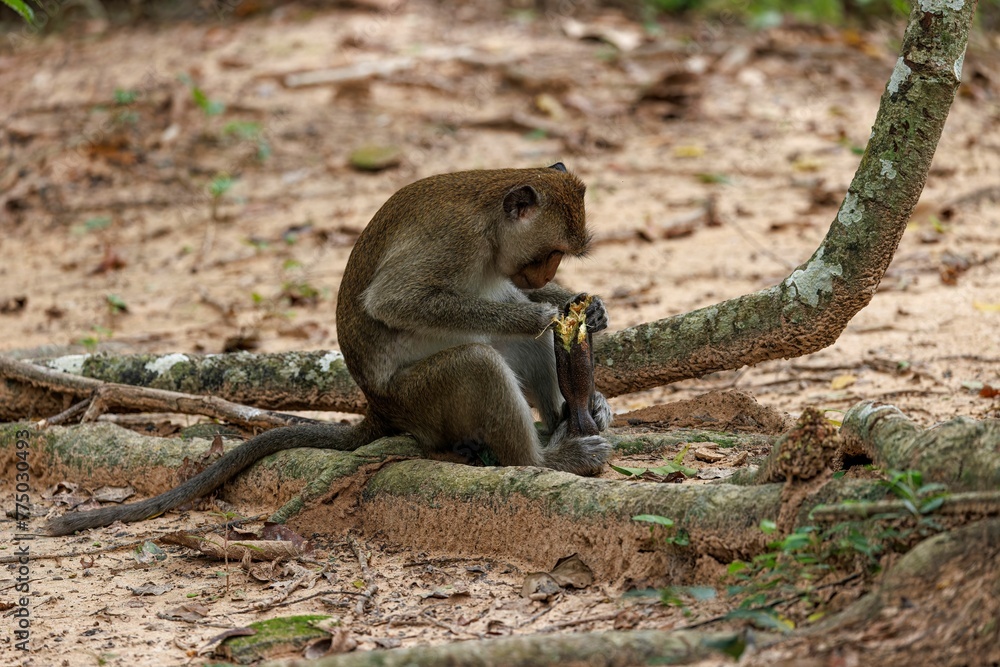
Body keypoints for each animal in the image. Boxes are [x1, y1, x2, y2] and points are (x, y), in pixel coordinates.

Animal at [48, 163, 616, 536]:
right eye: (549, 253)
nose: (548, 275)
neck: (489, 218)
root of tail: (380, 409)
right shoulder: (453, 241)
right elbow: (396, 301)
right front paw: (539, 317)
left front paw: (583, 310)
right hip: (419, 399)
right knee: (478, 362)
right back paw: (546, 460)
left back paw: (573, 415)